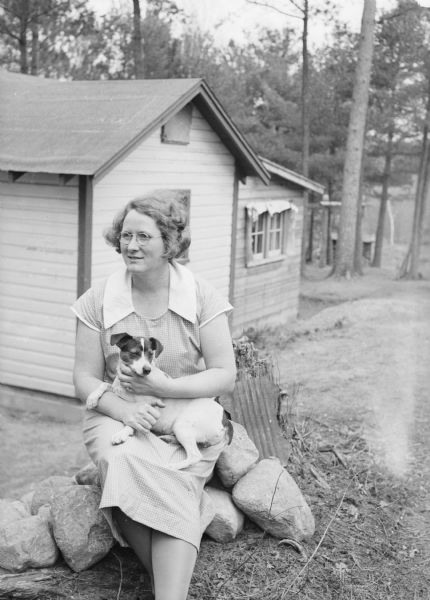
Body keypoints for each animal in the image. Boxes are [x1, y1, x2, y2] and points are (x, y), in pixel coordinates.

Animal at [109, 332, 233, 468]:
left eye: (151, 354)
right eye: (134, 353)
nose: (147, 370)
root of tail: (225, 420)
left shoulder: (149, 407)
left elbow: (134, 423)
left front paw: (122, 433)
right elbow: (107, 388)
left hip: (182, 425)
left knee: (195, 456)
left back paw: (172, 466)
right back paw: (170, 438)